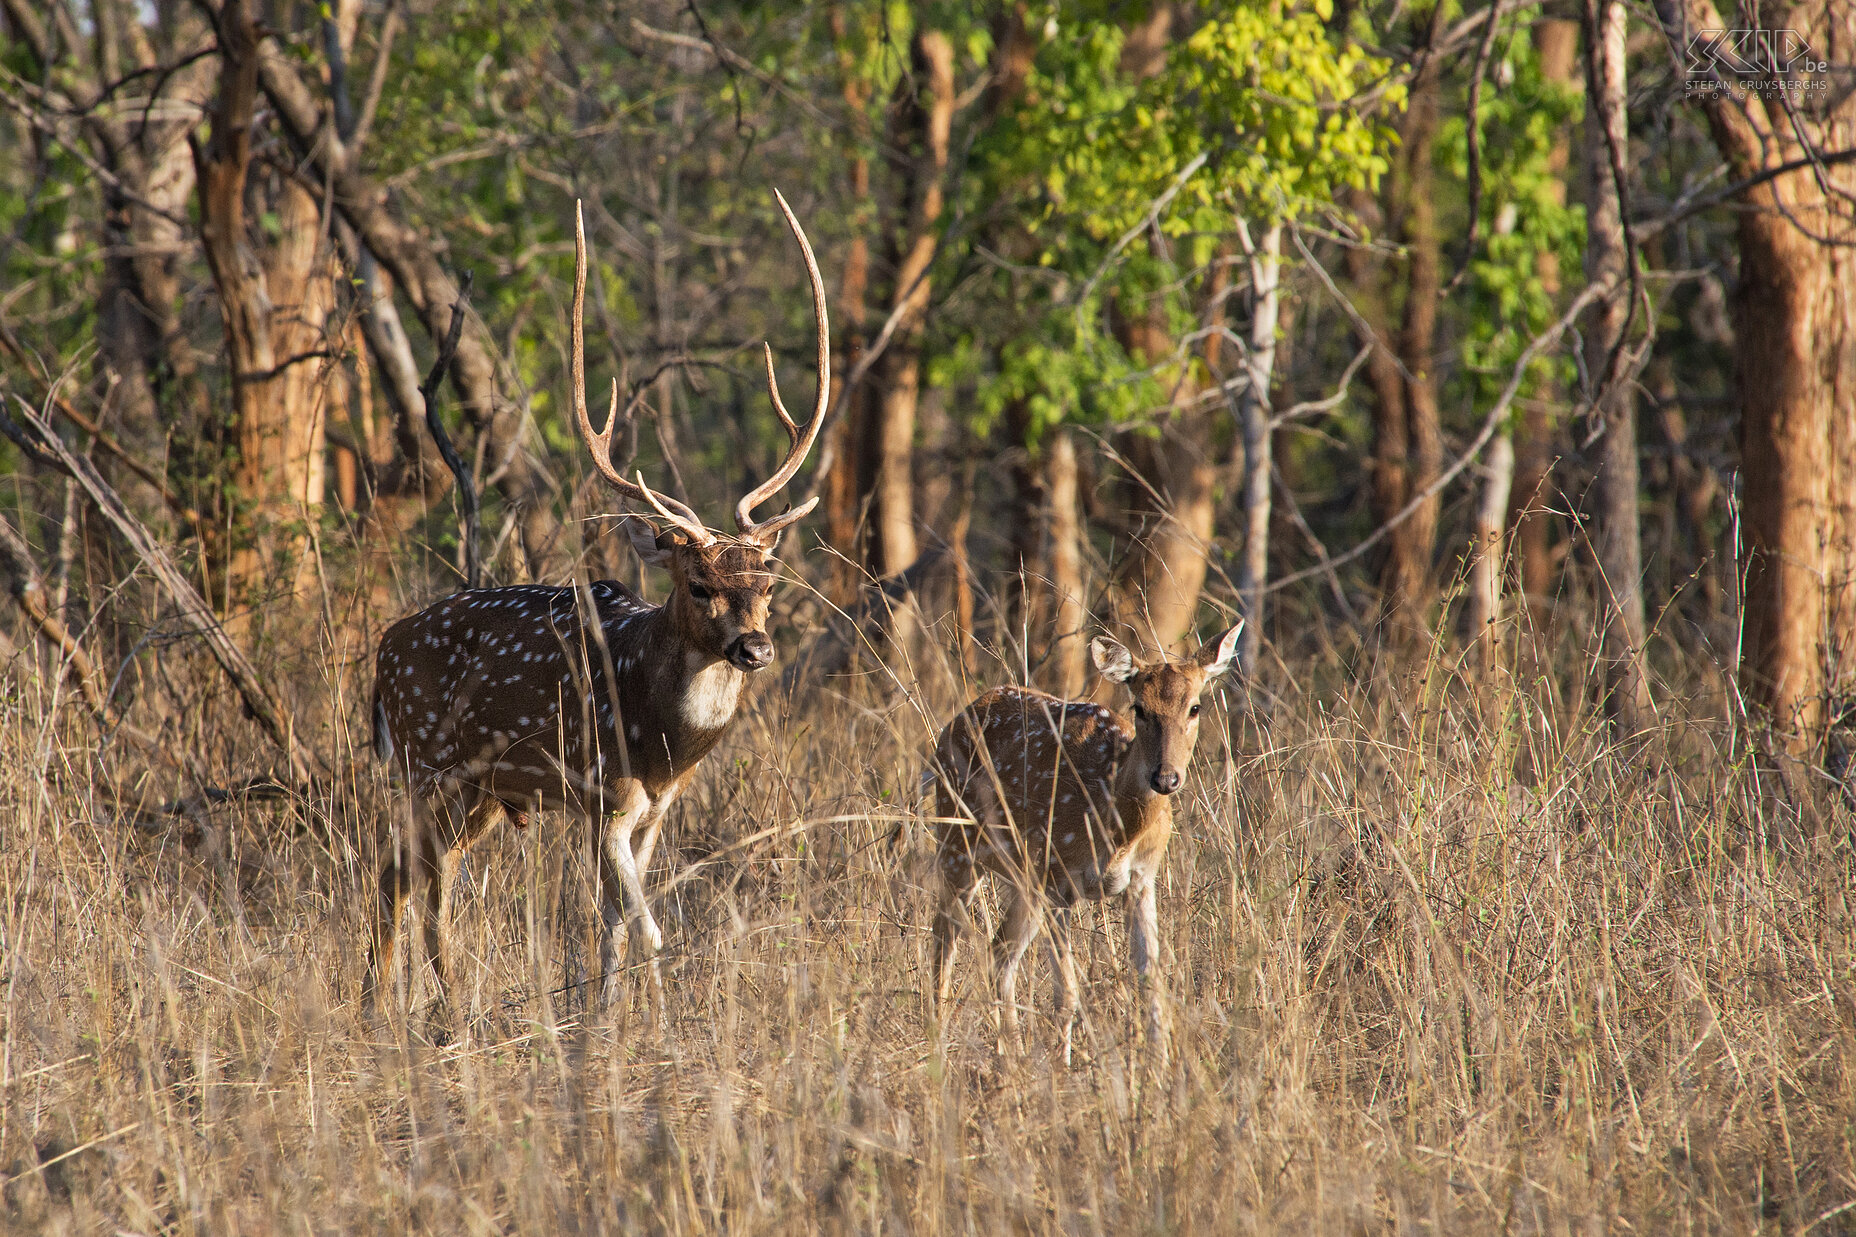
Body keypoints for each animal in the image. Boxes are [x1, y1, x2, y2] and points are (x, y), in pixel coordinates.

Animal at [367, 193, 827, 1010]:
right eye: (698, 583)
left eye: (767, 584)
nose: (755, 648)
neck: (660, 737)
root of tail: (382, 650)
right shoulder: (602, 788)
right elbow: (647, 924)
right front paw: (648, 1013)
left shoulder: (655, 806)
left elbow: (613, 919)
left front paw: (603, 1014)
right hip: (429, 762)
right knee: (418, 883)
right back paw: (437, 1008)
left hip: (480, 790)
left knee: (405, 874)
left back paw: (390, 1004)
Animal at [928, 620, 1247, 1054]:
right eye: (1139, 708)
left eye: (1195, 707)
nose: (1166, 778)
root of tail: (954, 722)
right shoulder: (1057, 877)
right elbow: (1066, 993)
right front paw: (1060, 1066)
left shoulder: (1142, 878)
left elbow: (1151, 984)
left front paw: (1161, 1065)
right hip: (956, 841)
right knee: (944, 940)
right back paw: (939, 1041)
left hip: (1021, 878)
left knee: (998, 954)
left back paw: (1009, 1055)